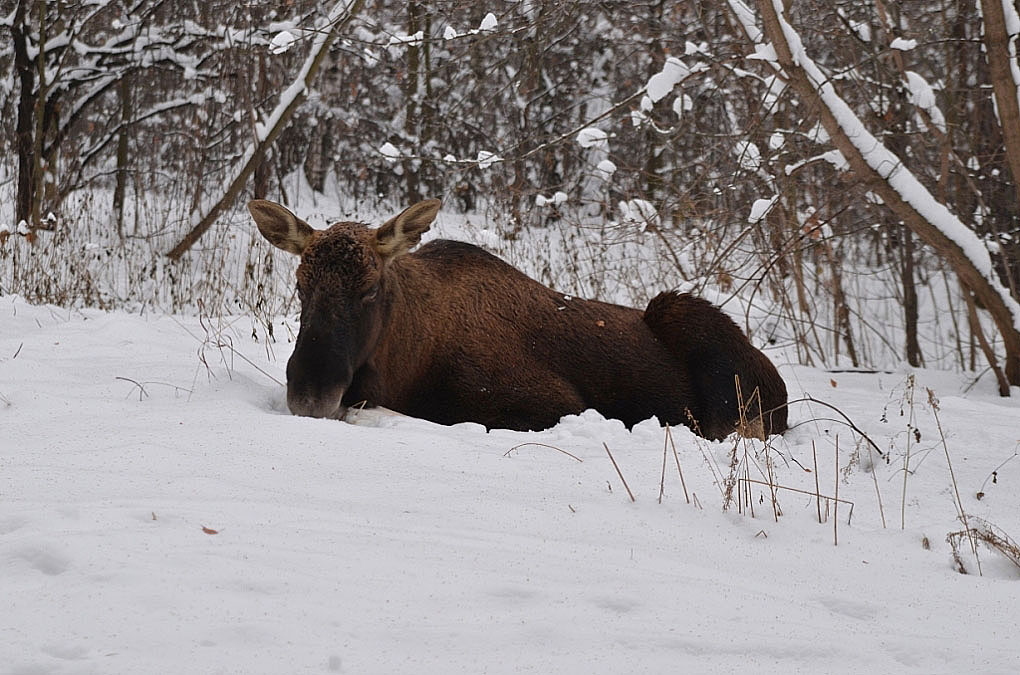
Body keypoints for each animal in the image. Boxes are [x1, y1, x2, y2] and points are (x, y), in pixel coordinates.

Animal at [246, 198, 787, 442]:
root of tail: (779, 386)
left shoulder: (553, 406)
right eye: (300, 285)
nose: (312, 392)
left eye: (371, 288)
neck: (406, 360)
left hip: (687, 324)